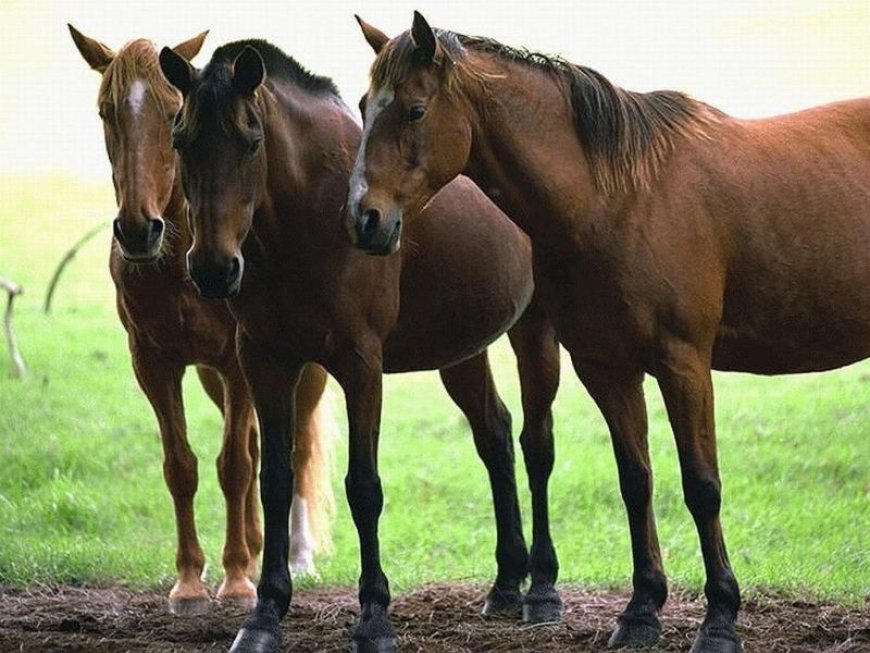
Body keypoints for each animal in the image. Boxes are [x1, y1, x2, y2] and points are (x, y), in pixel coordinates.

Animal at [69, 24, 340, 612]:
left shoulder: (238, 361)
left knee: (296, 444)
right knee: (262, 444)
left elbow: (234, 465)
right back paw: (261, 545)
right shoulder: (153, 363)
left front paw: (236, 579)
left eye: (172, 112)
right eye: (104, 111)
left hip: (302, 369)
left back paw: (296, 554)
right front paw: (191, 581)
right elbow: (182, 465)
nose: (137, 229)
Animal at [159, 39, 564, 652]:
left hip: (534, 332)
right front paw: (264, 615)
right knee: (495, 435)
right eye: (181, 141)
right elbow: (275, 483)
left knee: (536, 444)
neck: (307, 217)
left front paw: (374, 616)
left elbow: (364, 487)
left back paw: (541, 588)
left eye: (251, 141)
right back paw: (505, 583)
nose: (212, 268)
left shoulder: (360, 365)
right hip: (460, 350)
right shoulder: (265, 362)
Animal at [346, 12, 870, 652]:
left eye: (415, 110)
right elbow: (635, 480)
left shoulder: (683, 364)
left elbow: (701, 486)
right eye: (365, 104)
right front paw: (642, 609)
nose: (364, 220)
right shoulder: (607, 368)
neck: (618, 200)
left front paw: (720, 619)